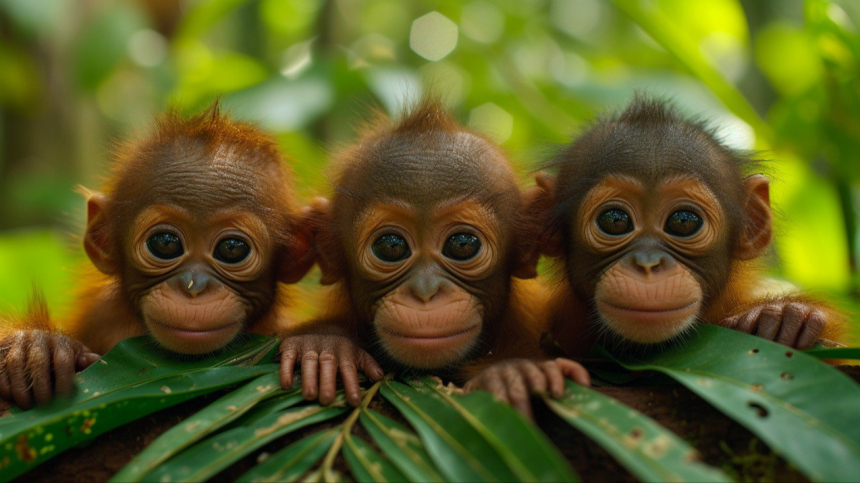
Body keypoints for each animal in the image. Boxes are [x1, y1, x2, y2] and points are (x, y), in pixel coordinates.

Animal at [0, 105, 314, 408]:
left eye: (232, 248)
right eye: (165, 243)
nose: (194, 287)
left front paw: (315, 348)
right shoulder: (98, 315)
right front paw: (35, 347)